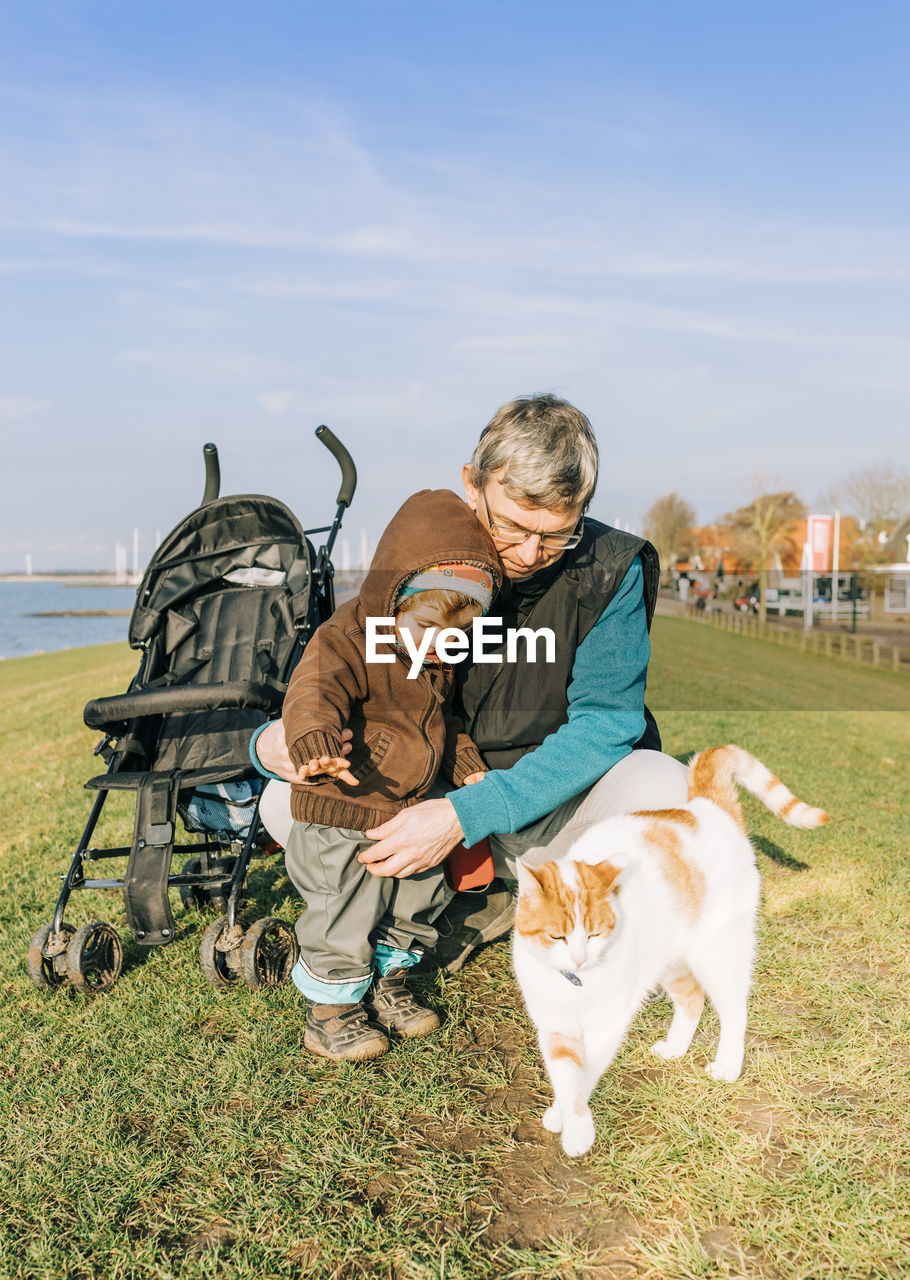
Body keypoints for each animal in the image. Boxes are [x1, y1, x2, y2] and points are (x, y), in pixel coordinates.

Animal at [517, 747, 829, 1157]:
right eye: (557, 937)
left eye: (597, 932)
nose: (581, 959)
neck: (576, 983)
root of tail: (702, 806)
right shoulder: (554, 1025)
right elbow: (565, 1073)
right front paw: (562, 1114)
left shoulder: (606, 1025)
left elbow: (583, 1077)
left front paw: (577, 1131)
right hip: (670, 961)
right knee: (692, 999)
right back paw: (677, 1048)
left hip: (718, 953)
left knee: (734, 1009)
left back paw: (727, 1066)